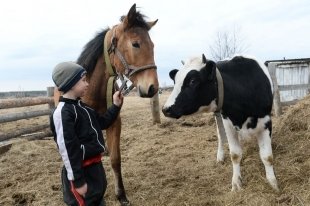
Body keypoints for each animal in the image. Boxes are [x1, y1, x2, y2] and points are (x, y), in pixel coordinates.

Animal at [53, 4, 159, 205]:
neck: (91, 92)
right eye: (135, 44)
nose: (152, 88)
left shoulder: (113, 122)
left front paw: (122, 195)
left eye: (153, 45)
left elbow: (116, 159)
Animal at [162, 54, 278, 192]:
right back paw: (220, 156)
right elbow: (235, 154)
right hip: (218, 116)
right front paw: (236, 183)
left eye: (193, 81)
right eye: (175, 81)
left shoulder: (266, 121)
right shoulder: (227, 121)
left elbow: (267, 156)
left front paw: (272, 182)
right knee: (220, 135)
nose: (165, 109)